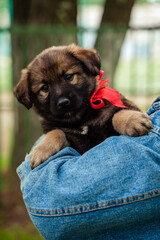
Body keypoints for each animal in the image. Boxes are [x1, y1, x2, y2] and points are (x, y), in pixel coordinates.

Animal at [14, 43, 152, 169]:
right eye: (44, 88)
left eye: (69, 77)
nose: (63, 102)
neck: (81, 119)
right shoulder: (72, 143)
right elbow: (56, 132)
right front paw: (41, 150)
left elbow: (116, 115)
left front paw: (133, 121)